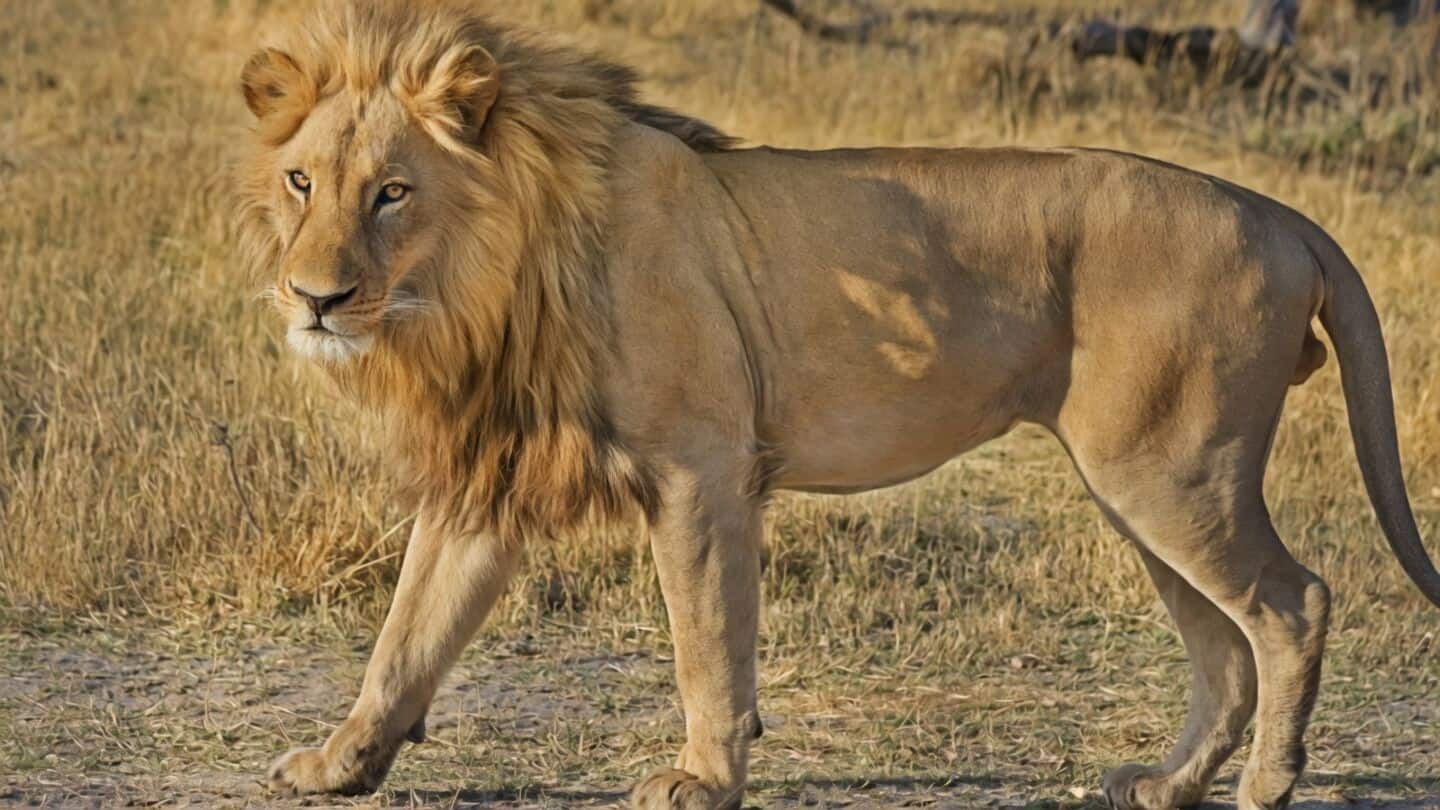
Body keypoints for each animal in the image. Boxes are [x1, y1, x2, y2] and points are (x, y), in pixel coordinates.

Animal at [236, 2, 1440, 808]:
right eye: (303, 182)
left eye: (393, 192)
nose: (315, 297)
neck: (485, 285)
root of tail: (1276, 209)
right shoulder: (490, 476)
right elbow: (405, 637)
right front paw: (339, 764)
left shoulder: (701, 467)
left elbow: (707, 642)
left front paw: (703, 777)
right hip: (1140, 483)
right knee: (1224, 648)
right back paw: (1171, 783)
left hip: (1170, 471)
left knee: (1292, 604)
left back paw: (1268, 786)